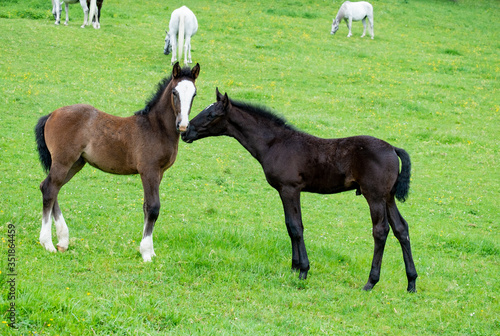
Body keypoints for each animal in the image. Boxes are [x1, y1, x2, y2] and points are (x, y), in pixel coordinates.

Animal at [33, 63, 201, 262]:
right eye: (175, 92)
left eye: (194, 94)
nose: (183, 125)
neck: (156, 128)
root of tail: (52, 114)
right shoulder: (149, 170)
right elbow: (153, 207)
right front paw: (146, 253)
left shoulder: (159, 173)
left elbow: (146, 207)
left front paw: (150, 250)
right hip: (63, 161)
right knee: (49, 189)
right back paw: (48, 243)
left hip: (75, 164)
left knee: (51, 188)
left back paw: (63, 241)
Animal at [184, 88, 418, 292]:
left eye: (211, 114)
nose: (185, 132)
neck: (275, 143)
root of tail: (392, 149)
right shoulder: (284, 191)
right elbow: (289, 226)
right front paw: (294, 266)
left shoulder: (290, 189)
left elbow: (296, 227)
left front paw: (303, 271)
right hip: (388, 197)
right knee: (401, 228)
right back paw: (411, 282)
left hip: (375, 196)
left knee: (381, 231)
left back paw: (371, 282)